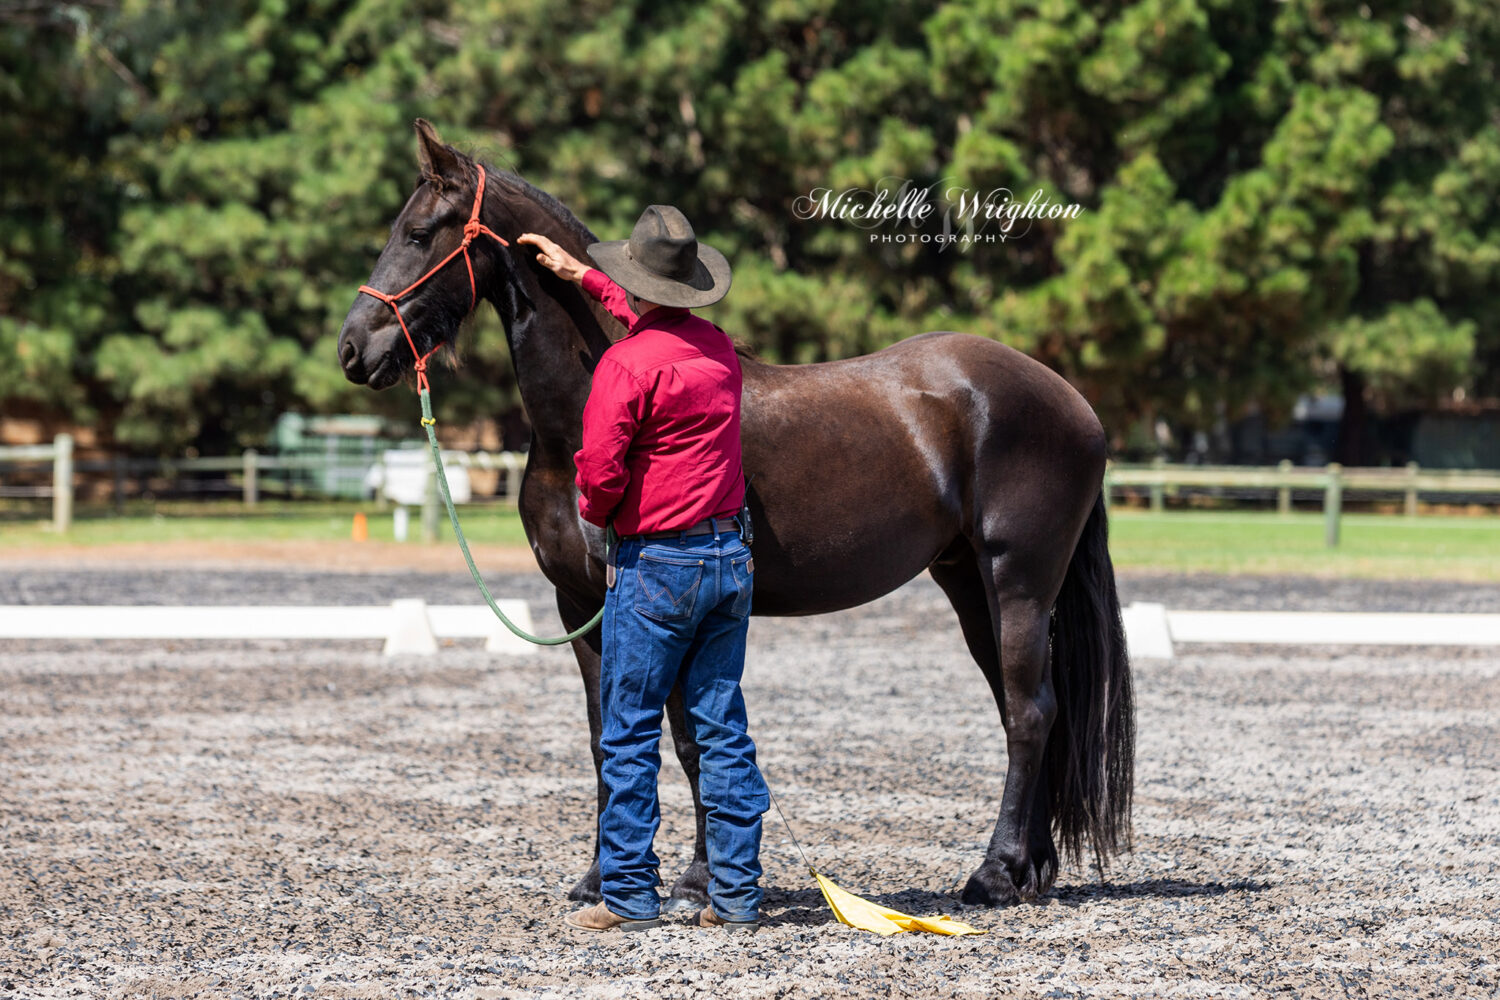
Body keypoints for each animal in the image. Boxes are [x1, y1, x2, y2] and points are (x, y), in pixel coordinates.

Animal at [340, 121, 1128, 911]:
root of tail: (1073, 401)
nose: (354, 349)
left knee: (1029, 713)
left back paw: (994, 873)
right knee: (1029, 708)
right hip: (969, 582)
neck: (582, 416)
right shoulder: (579, 605)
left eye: (419, 234)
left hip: (1018, 581)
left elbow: (689, 739)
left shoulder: (664, 605)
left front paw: (696, 880)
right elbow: (605, 739)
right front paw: (599, 879)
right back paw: (1031, 870)